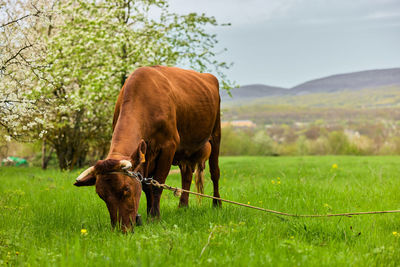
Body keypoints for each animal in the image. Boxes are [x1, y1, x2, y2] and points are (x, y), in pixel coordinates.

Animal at [73, 66, 220, 231]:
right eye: (101, 195)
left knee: (215, 173)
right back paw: (183, 206)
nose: (121, 229)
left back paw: (217, 204)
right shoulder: (145, 155)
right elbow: (146, 186)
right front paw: (149, 215)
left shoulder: (168, 147)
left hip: (215, 134)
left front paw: (155, 217)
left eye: (126, 189)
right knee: (187, 176)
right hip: (186, 152)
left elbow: (157, 185)